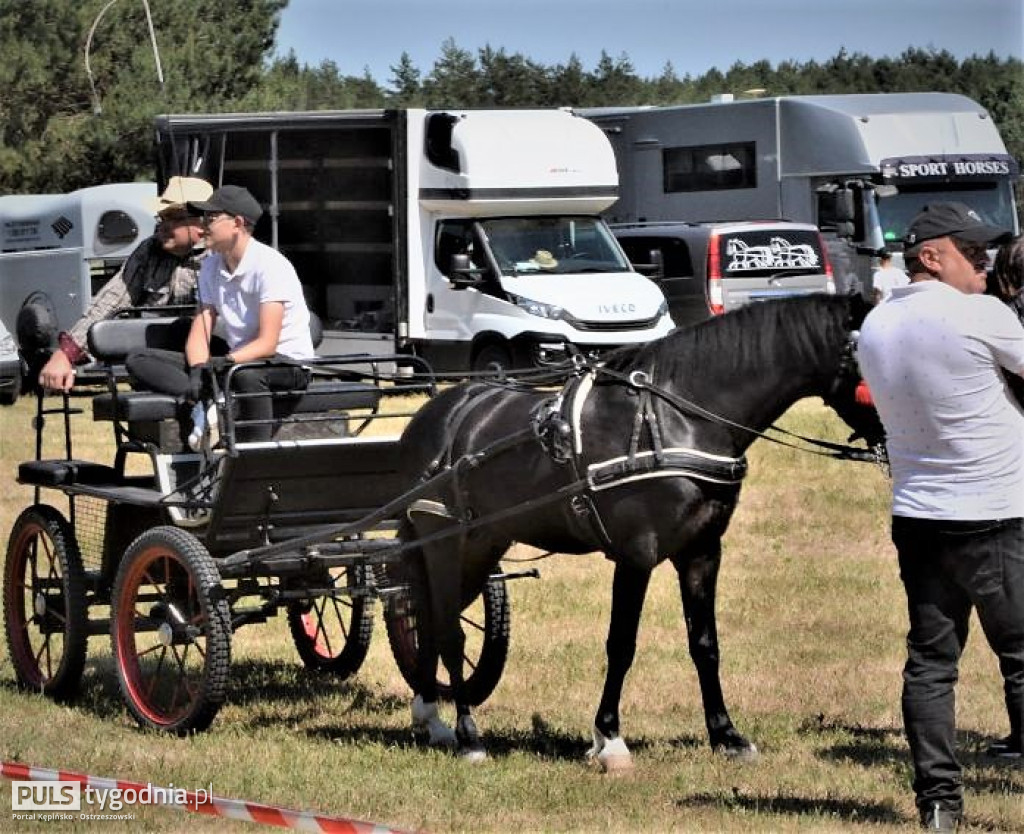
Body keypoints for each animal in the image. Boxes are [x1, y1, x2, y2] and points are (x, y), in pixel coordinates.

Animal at [395, 295, 884, 770]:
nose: (888, 441)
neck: (677, 418)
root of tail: (433, 416)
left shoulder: (702, 551)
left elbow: (705, 643)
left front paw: (726, 735)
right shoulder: (636, 554)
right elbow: (622, 643)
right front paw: (609, 738)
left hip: (483, 544)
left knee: (429, 618)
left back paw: (430, 716)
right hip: (443, 541)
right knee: (447, 629)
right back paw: (467, 734)